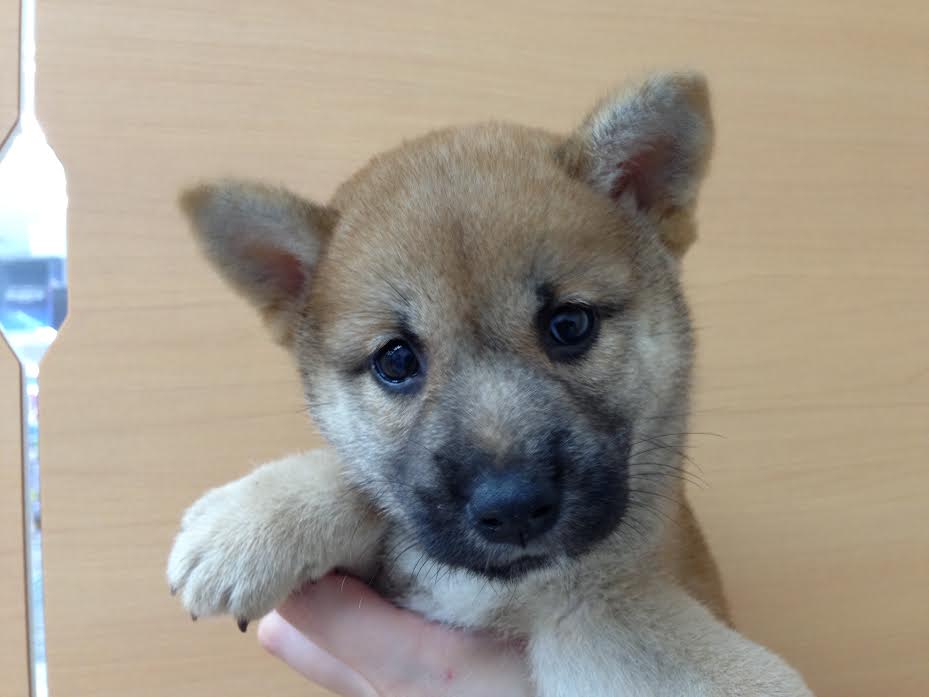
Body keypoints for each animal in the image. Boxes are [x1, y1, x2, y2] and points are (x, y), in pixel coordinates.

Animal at [167, 72, 812, 696]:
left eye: (569, 325)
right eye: (395, 360)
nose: (513, 507)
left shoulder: (598, 605)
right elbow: (368, 486)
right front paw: (253, 521)